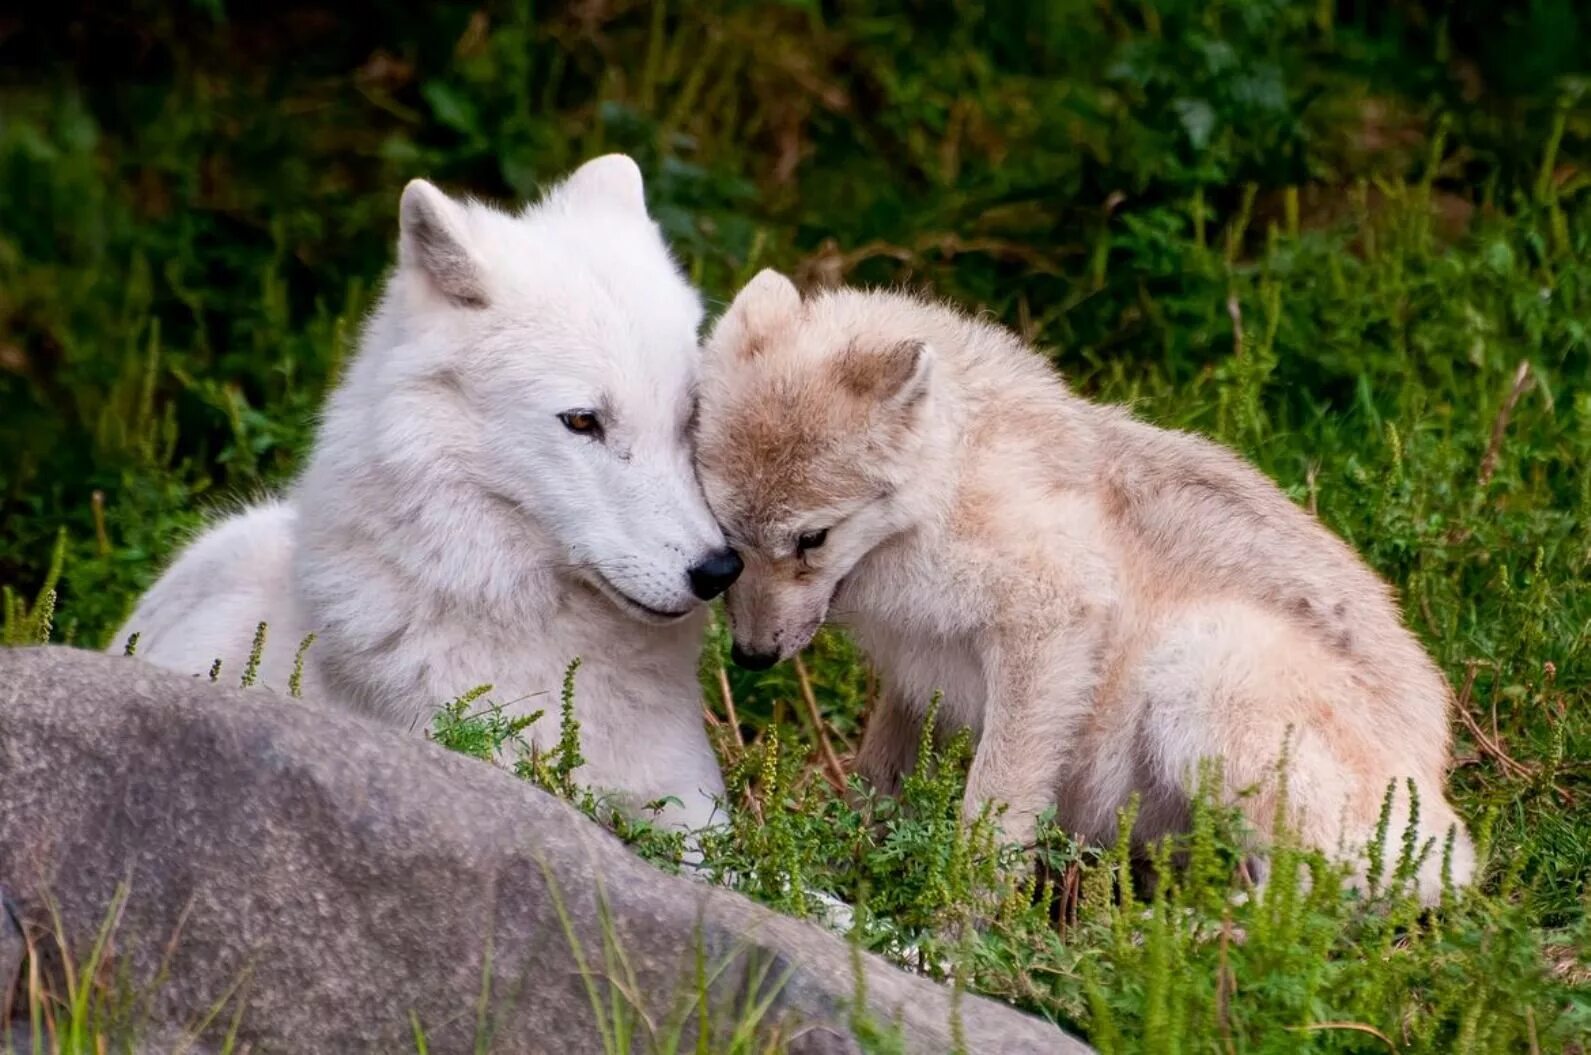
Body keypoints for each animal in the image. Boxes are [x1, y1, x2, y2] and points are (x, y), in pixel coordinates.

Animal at [700, 270, 1476, 897]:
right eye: (729, 539)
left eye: (811, 539)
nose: (751, 657)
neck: (951, 488)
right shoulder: (917, 681)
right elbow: (876, 784)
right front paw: (842, 867)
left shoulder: (1047, 626)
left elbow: (991, 812)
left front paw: (955, 926)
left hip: (1199, 668)